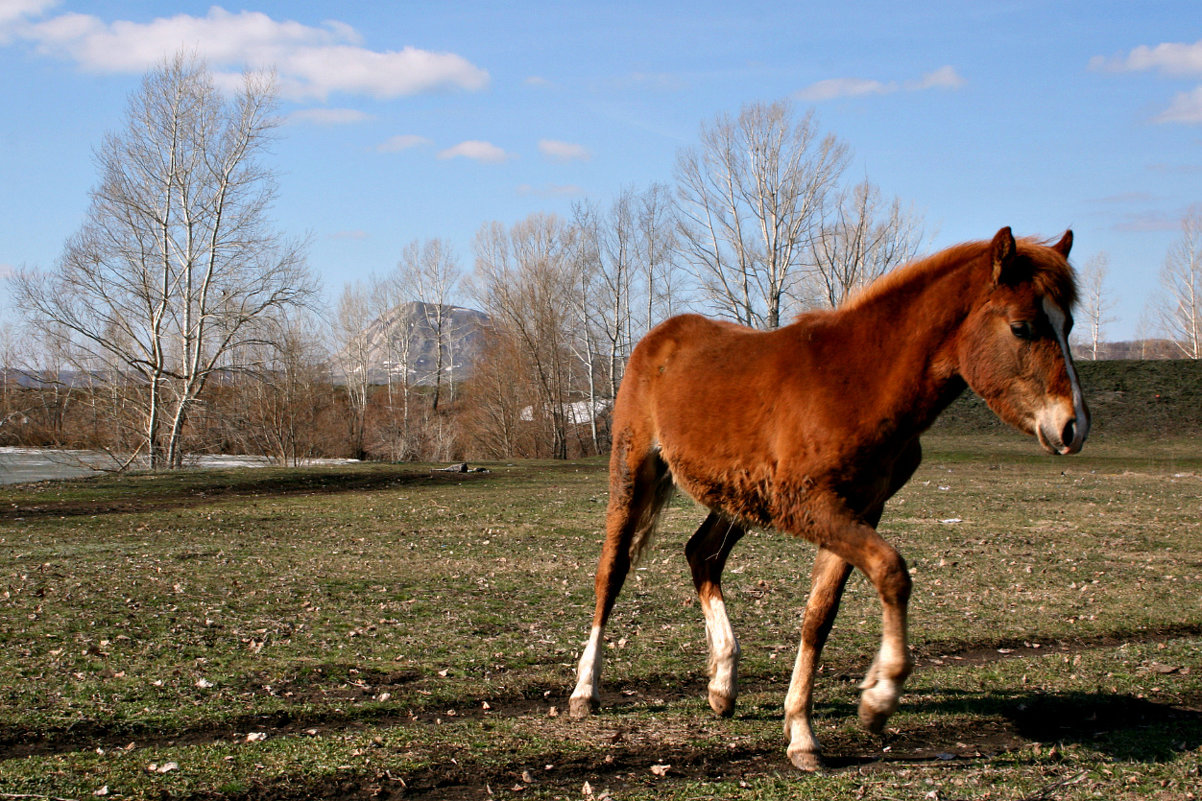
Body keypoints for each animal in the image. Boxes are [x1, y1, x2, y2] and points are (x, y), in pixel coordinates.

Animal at [567, 224, 1086, 769]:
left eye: (1069, 324)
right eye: (1022, 328)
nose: (1072, 427)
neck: (858, 382)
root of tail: (658, 337)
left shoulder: (862, 509)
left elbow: (821, 615)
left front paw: (801, 731)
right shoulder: (811, 507)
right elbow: (892, 571)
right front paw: (879, 698)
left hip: (736, 499)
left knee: (702, 554)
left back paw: (723, 684)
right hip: (634, 474)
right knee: (613, 570)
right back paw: (585, 690)